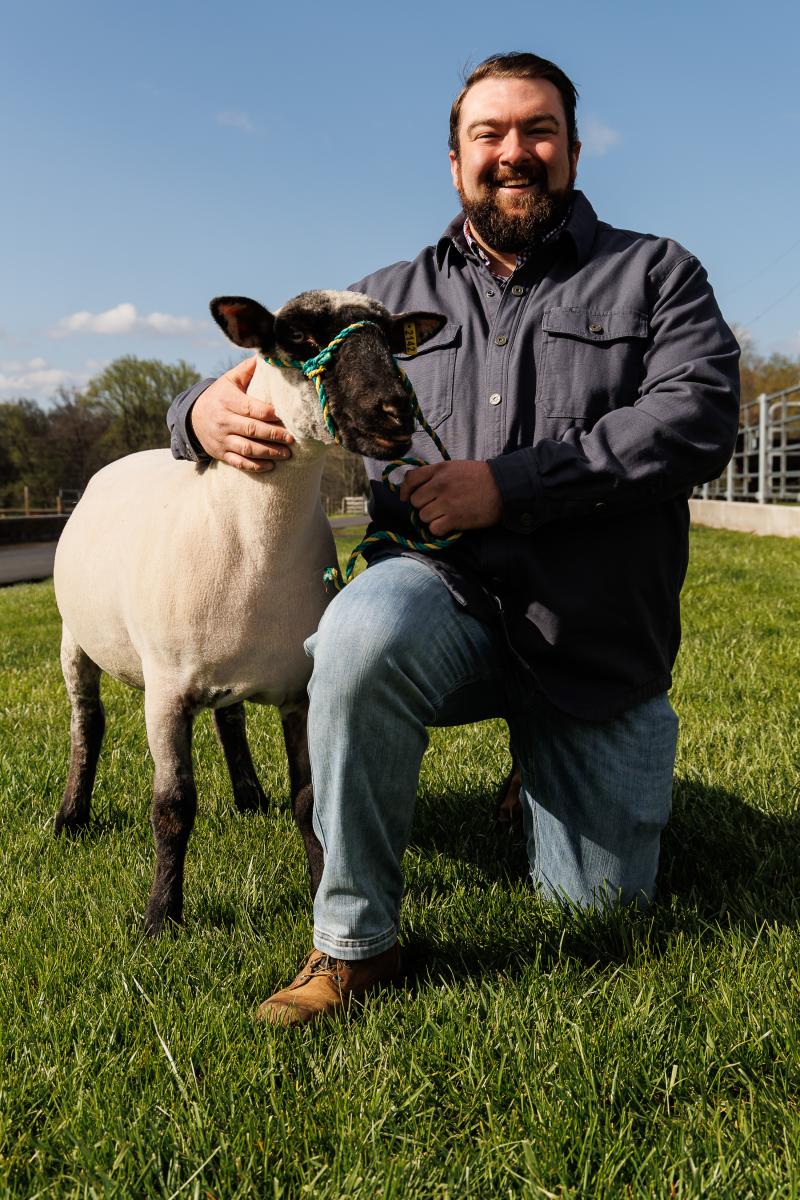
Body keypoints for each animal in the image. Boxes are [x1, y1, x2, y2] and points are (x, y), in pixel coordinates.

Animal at [53, 289, 446, 934]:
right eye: (299, 339)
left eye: (393, 340)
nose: (394, 411)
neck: (252, 543)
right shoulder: (165, 692)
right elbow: (172, 806)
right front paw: (161, 917)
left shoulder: (301, 688)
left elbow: (309, 801)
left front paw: (317, 889)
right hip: (75, 639)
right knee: (88, 724)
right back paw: (71, 817)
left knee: (228, 717)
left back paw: (249, 797)